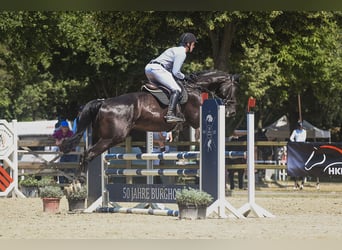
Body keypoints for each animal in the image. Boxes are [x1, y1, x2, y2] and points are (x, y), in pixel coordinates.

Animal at [60, 69, 238, 173]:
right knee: (88, 154)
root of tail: (103, 102)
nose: (232, 111)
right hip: (112, 138)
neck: (195, 88)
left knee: (88, 154)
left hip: (101, 136)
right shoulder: (195, 119)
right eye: (234, 89)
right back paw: (78, 184)